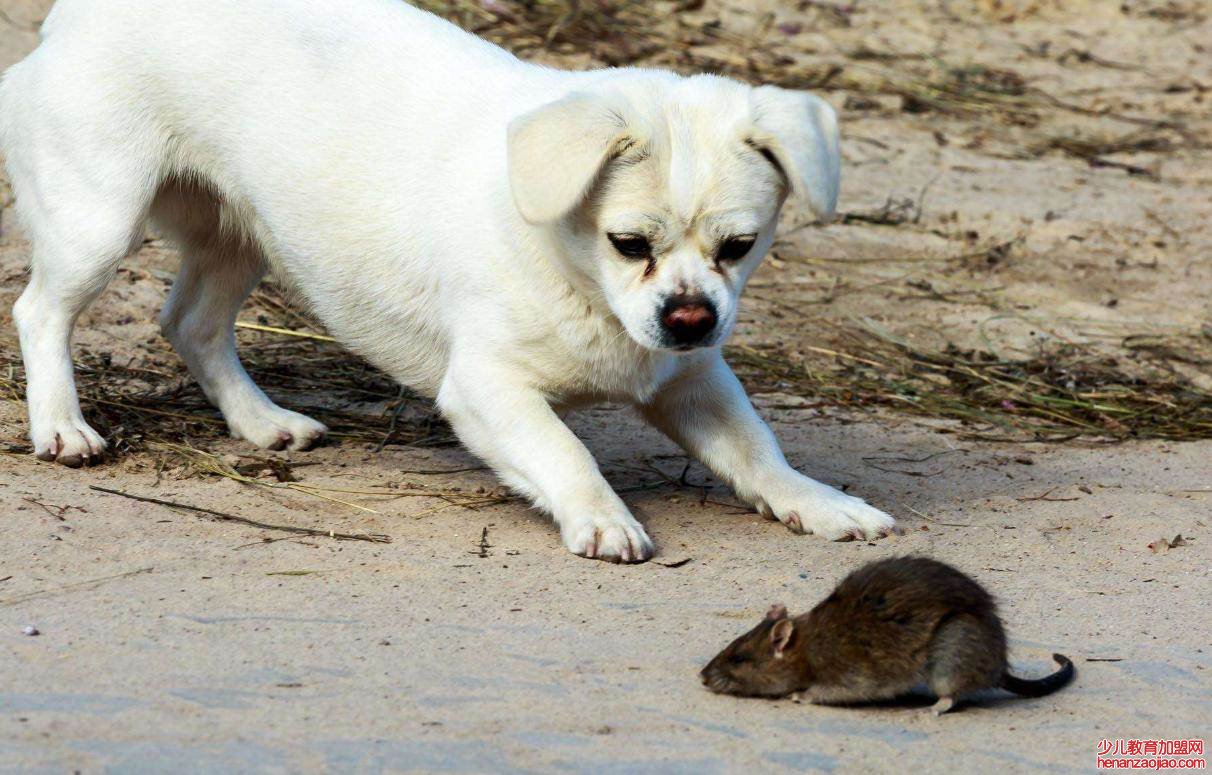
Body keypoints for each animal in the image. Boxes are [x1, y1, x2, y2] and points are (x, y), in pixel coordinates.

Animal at [0, 0, 892, 560]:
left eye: (740, 247)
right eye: (628, 242)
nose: (690, 318)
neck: (579, 276)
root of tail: (75, 12)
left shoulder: (694, 382)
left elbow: (758, 450)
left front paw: (816, 500)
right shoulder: (488, 391)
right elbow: (567, 451)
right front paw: (603, 517)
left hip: (238, 236)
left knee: (191, 322)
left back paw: (261, 422)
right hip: (100, 222)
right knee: (41, 310)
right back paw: (62, 426)